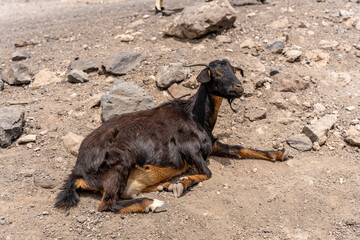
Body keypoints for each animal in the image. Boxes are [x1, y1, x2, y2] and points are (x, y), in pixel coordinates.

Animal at [54, 59, 290, 214]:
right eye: (216, 74)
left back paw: (162, 186)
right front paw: (182, 184)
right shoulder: (190, 149)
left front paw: (280, 153)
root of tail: (78, 171)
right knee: (107, 203)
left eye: (234, 71)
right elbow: (207, 173)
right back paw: (153, 202)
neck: (195, 116)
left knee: (126, 194)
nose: (239, 88)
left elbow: (239, 149)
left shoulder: (212, 145)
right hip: (119, 163)